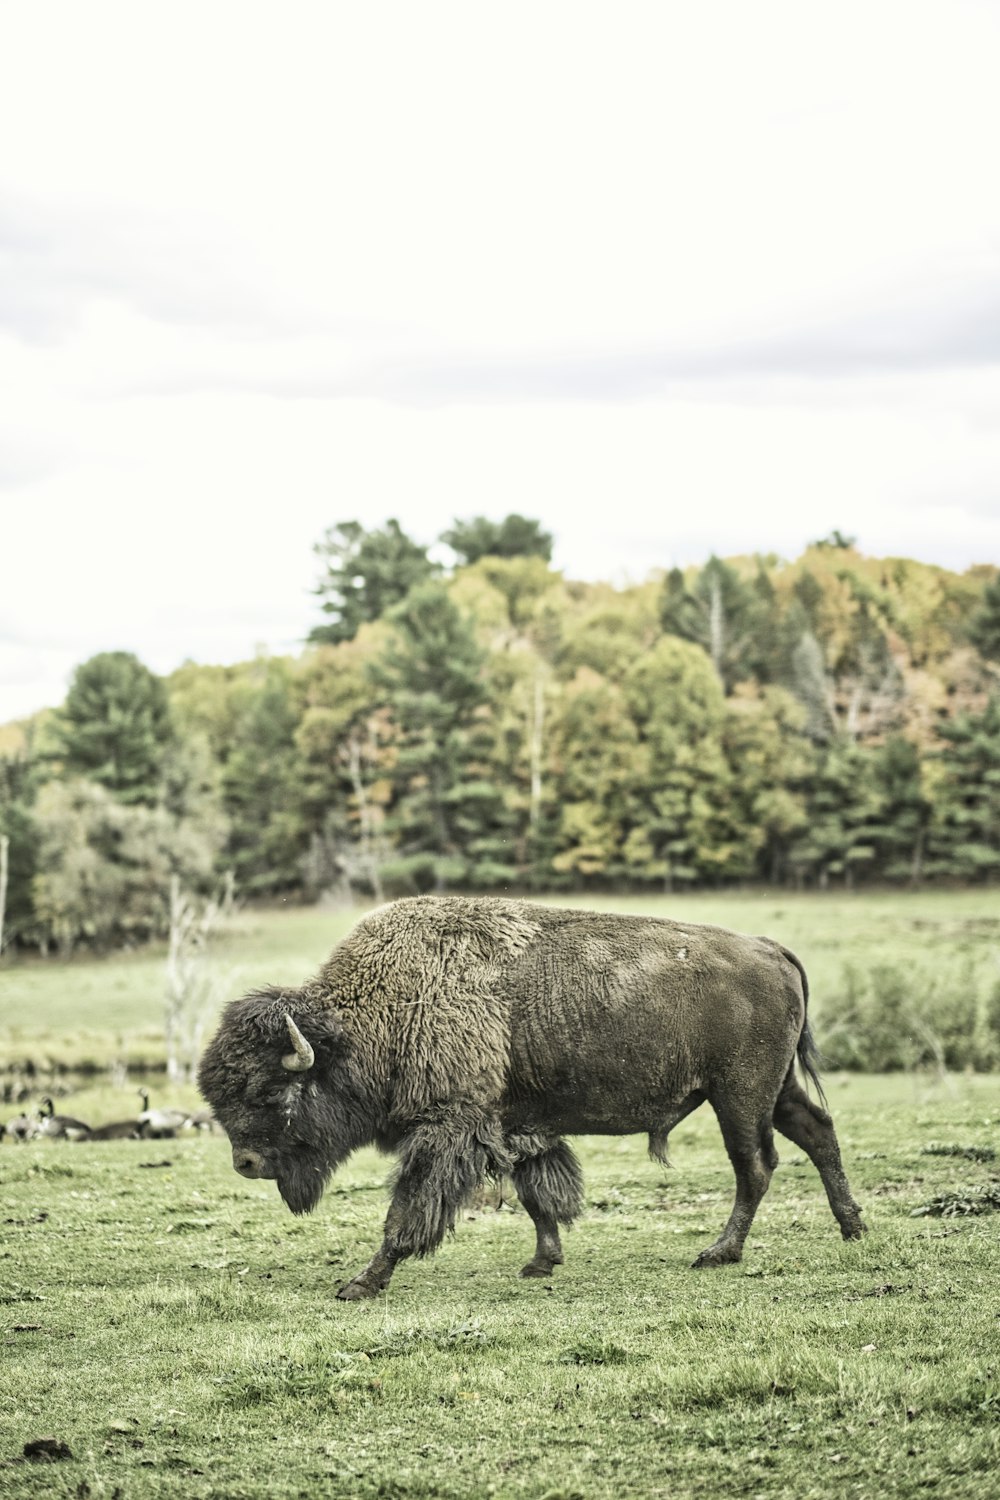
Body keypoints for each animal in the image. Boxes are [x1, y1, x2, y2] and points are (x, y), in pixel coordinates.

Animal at [199, 894, 863, 1296]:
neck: (377, 1012)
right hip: (774, 1089)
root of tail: (769, 947)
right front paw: (542, 1262)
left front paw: (361, 1283)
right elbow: (538, 1194)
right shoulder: (515, 1125)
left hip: (740, 1095)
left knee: (757, 1166)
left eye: (272, 1089)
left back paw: (718, 1253)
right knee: (819, 1133)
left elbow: (408, 1209)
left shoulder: (449, 1127)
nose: (245, 1163)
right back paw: (852, 1228)